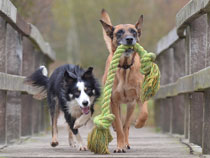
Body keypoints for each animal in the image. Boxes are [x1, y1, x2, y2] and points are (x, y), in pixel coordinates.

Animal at [99, 9, 148, 152]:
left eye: (133, 31)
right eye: (119, 32)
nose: (130, 39)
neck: (125, 68)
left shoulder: (139, 97)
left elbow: (144, 113)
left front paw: (139, 123)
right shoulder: (114, 101)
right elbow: (119, 126)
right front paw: (119, 146)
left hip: (131, 105)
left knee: (126, 125)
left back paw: (127, 142)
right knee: (120, 123)